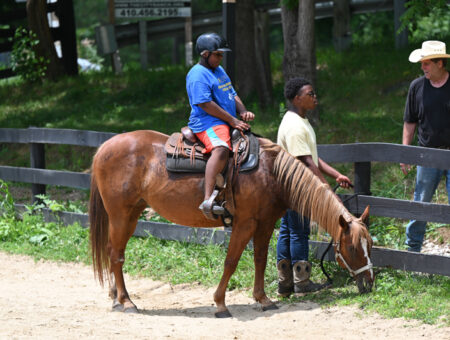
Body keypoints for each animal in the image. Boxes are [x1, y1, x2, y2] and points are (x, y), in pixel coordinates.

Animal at [88, 129, 372, 318]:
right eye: (353, 248)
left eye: (370, 245)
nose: (369, 283)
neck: (270, 173)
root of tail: (104, 147)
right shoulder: (245, 223)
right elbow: (231, 261)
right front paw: (220, 303)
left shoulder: (265, 223)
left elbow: (260, 259)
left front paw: (263, 299)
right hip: (121, 216)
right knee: (116, 255)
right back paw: (126, 302)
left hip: (131, 214)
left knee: (114, 252)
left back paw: (116, 297)